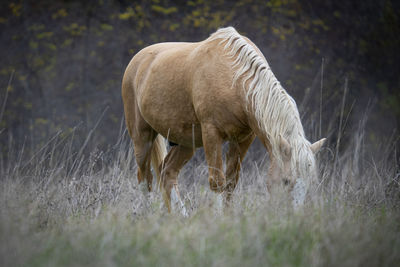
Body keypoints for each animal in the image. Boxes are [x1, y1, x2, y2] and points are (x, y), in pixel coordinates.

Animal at [122, 27, 324, 216]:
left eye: (311, 182)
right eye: (286, 181)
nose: (293, 216)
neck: (234, 80)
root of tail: (138, 60)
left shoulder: (243, 139)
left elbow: (231, 182)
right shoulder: (212, 134)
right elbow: (217, 181)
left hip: (186, 143)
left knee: (167, 173)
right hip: (142, 138)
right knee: (145, 179)